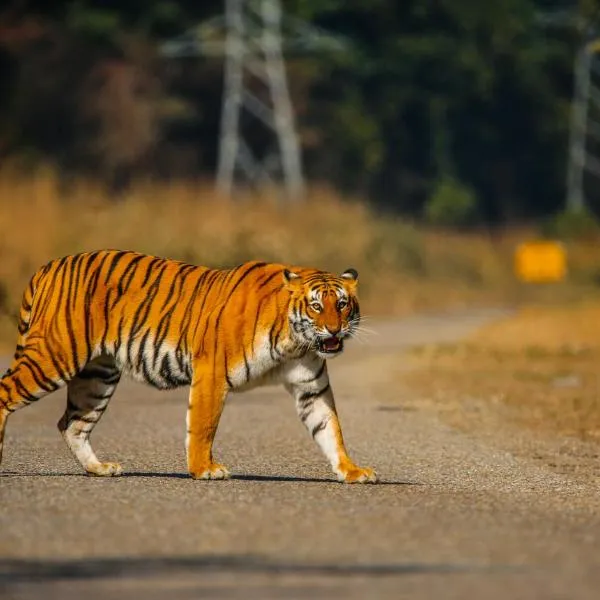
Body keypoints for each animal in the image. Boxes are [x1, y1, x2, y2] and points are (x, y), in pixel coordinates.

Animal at [0, 248, 378, 482]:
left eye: (342, 304)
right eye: (316, 306)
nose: (334, 329)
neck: (294, 342)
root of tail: (50, 265)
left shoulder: (310, 387)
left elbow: (330, 429)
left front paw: (352, 471)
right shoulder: (212, 372)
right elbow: (202, 425)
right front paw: (204, 469)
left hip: (97, 374)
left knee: (73, 423)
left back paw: (100, 468)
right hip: (54, 357)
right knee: (6, 393)